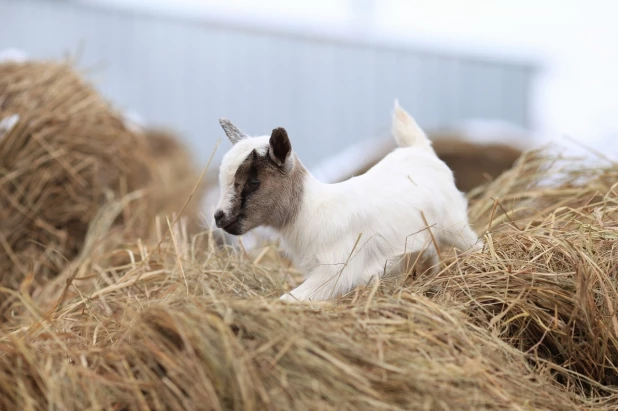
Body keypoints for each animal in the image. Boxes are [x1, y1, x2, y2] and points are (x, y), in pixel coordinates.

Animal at [214, 102, 478, 302]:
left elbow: (289, 299)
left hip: (454, 224)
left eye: (253, 182)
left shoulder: (334, 272)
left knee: (475, 244)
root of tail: (420, 150)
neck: (310, 211)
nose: (218, 216)